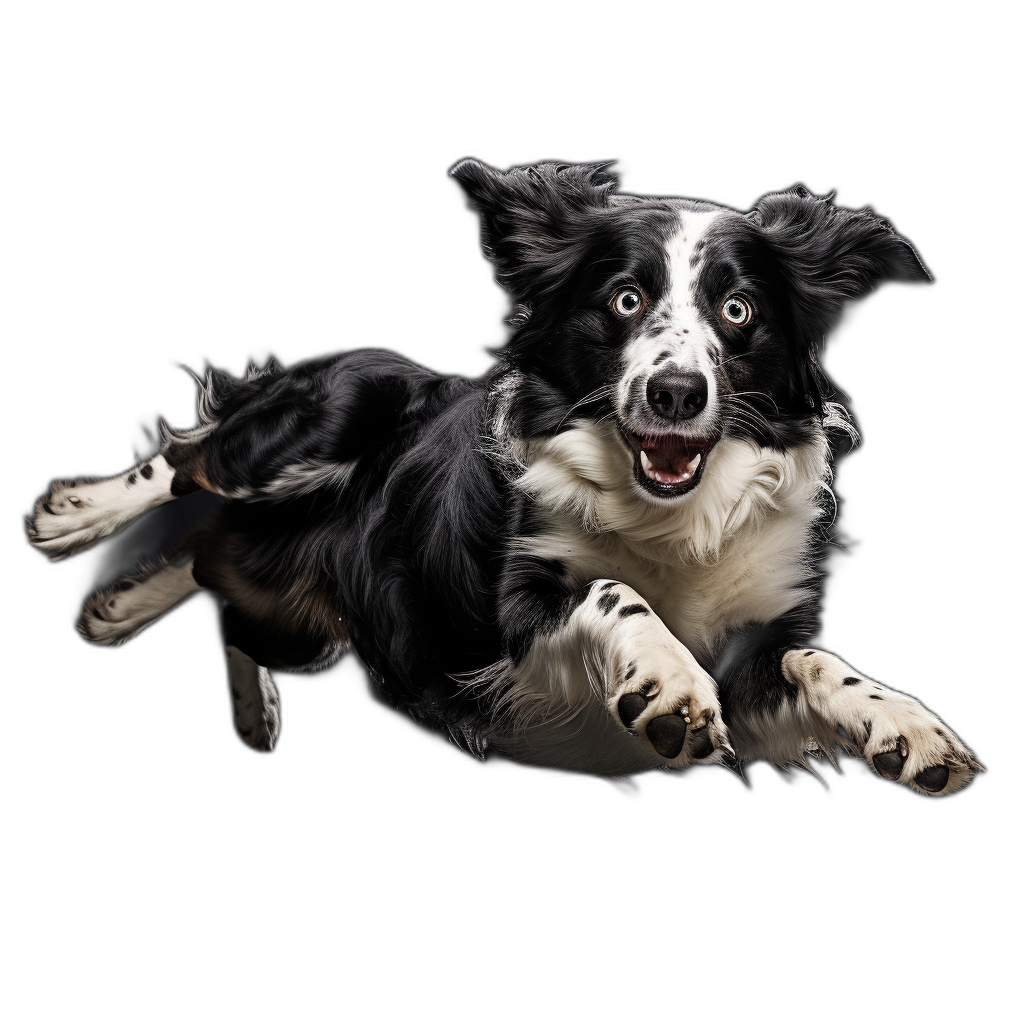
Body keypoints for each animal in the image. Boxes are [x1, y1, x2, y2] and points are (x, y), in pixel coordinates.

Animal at [28, 163, 978, 794]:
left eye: (738, 310)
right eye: (626, 300)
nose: (675, 393)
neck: (668, 518)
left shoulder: (755, 653)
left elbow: (815, 657)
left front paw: (902, 720)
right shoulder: (511, 623)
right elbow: (612, 593)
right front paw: (667, 682)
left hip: (314, 627)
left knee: (213, 572)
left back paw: (192, 665)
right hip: (338, 407)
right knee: (194, 465)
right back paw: (75, 520)